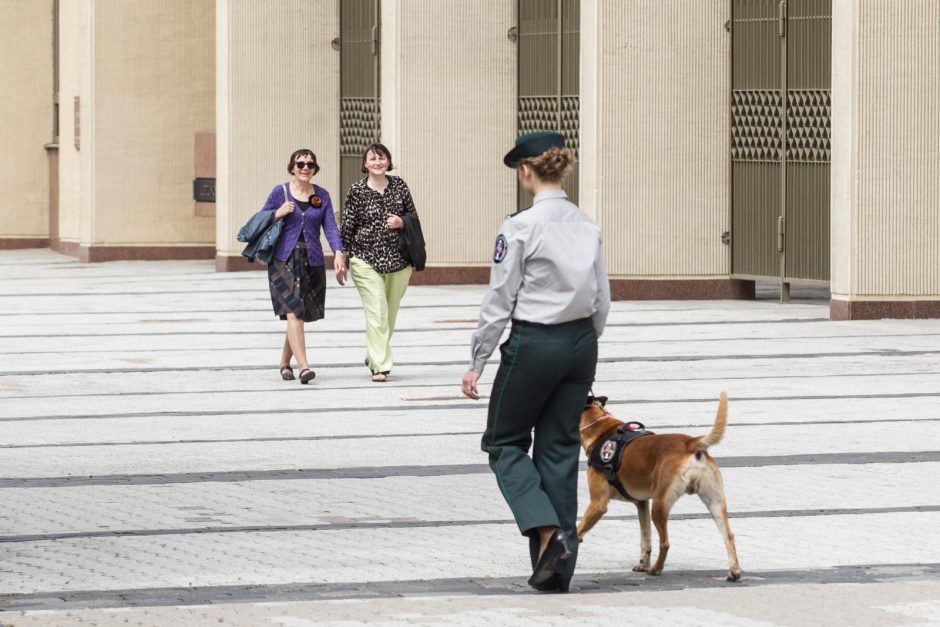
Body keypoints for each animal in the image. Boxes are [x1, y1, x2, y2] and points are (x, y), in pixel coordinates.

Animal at [572, 394, 740, 580]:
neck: (602, 430)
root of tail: (690, 443)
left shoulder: (598, 504)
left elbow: (578, 529)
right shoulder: (642, 504)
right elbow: (645, 538)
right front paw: (642, 564)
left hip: (659, 504)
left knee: (665, 543)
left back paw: (657, 568)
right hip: (715, 502)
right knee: (728, 535)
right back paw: (734, 570)